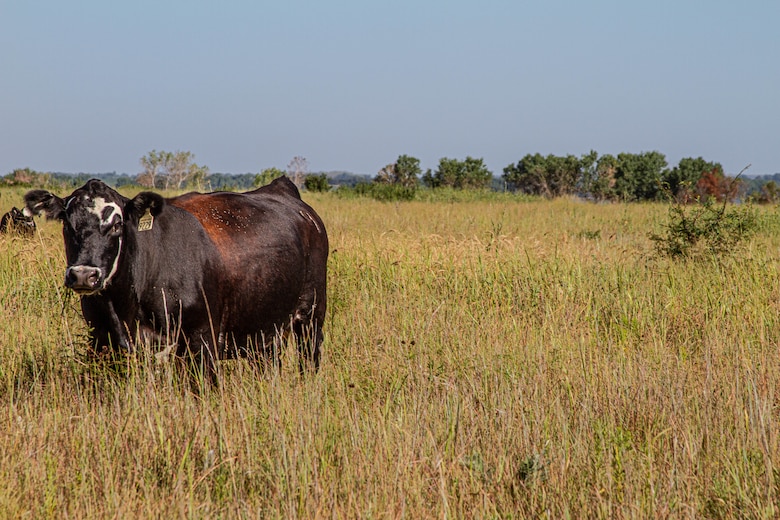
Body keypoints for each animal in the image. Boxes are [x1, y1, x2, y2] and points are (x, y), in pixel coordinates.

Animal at [25, 177, 326, 380]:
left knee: (309, 358)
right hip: (266, 331)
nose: (84, 275)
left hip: (310, 316)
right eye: (67, 223)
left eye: (117, 224)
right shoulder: (100, 341)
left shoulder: (202, 341)